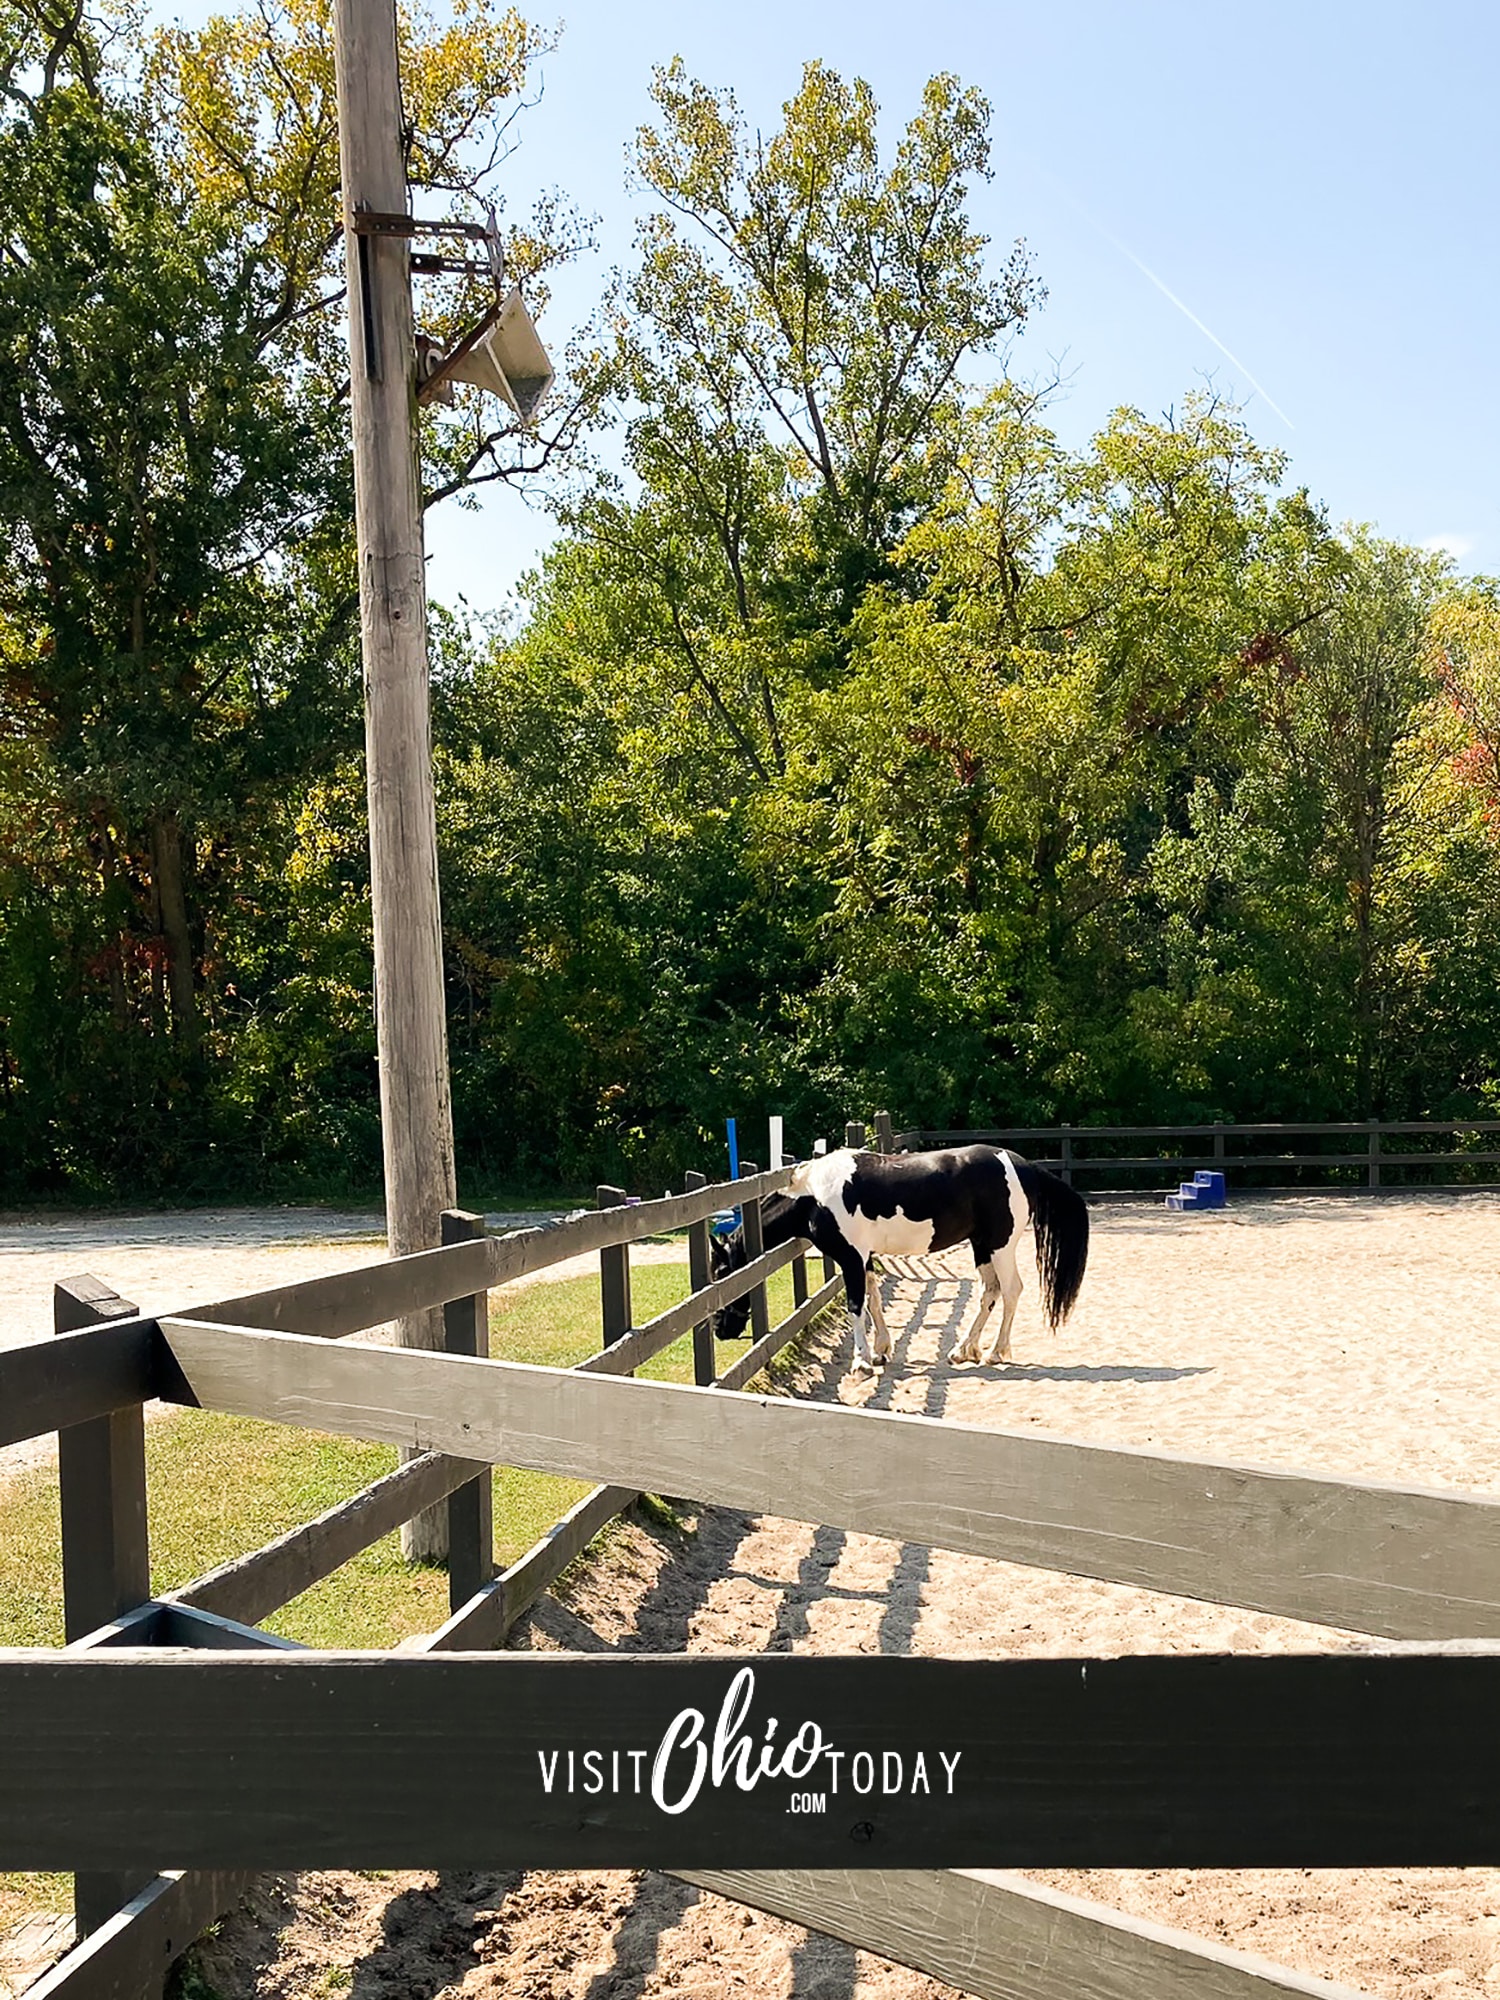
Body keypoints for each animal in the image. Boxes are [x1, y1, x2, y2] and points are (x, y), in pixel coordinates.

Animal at [712, 1144, 1088, 1376]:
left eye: (720, 1273)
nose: (720, 1330)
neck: (815, 1195)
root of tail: (1025, 1166)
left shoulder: (851, 1258)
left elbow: (856, 1305)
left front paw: (861, 1361)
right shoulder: (864, 1258)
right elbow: (874, 1299)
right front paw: (880, 1350)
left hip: (1000, 1246)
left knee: (1011, 1291)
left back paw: (996, 1351)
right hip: (981, 1246)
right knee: (990, 1292)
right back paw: (964, 1350)